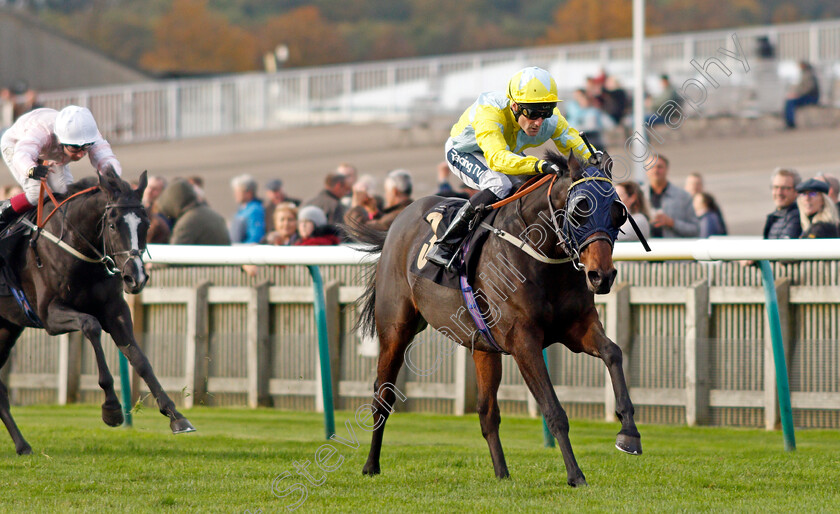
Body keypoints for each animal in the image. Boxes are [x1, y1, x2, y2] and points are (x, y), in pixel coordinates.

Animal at [0, 167, 194, 452]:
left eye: (146, 224)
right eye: (113, 225)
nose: (136, 277)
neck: (77, 250)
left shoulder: (115, 310)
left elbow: (140, 359)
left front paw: (176, 416)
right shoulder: (49, 315)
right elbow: (90, 325)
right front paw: (111, 408)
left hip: (6, 328)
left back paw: (22, 445)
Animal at [348, 149, 644, 484]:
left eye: (618, 213)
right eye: (581, 208)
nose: (601, 276)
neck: (541, 255)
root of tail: (399, 219)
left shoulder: (578, 328)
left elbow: (613, 352)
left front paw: (629, 434)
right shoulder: (523, 341)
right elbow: (553, 410)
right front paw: (575, 475)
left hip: (483, 347)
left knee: (487, 412)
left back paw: (502, 474)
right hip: (395, 329)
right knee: (382, 397)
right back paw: (371, 465)